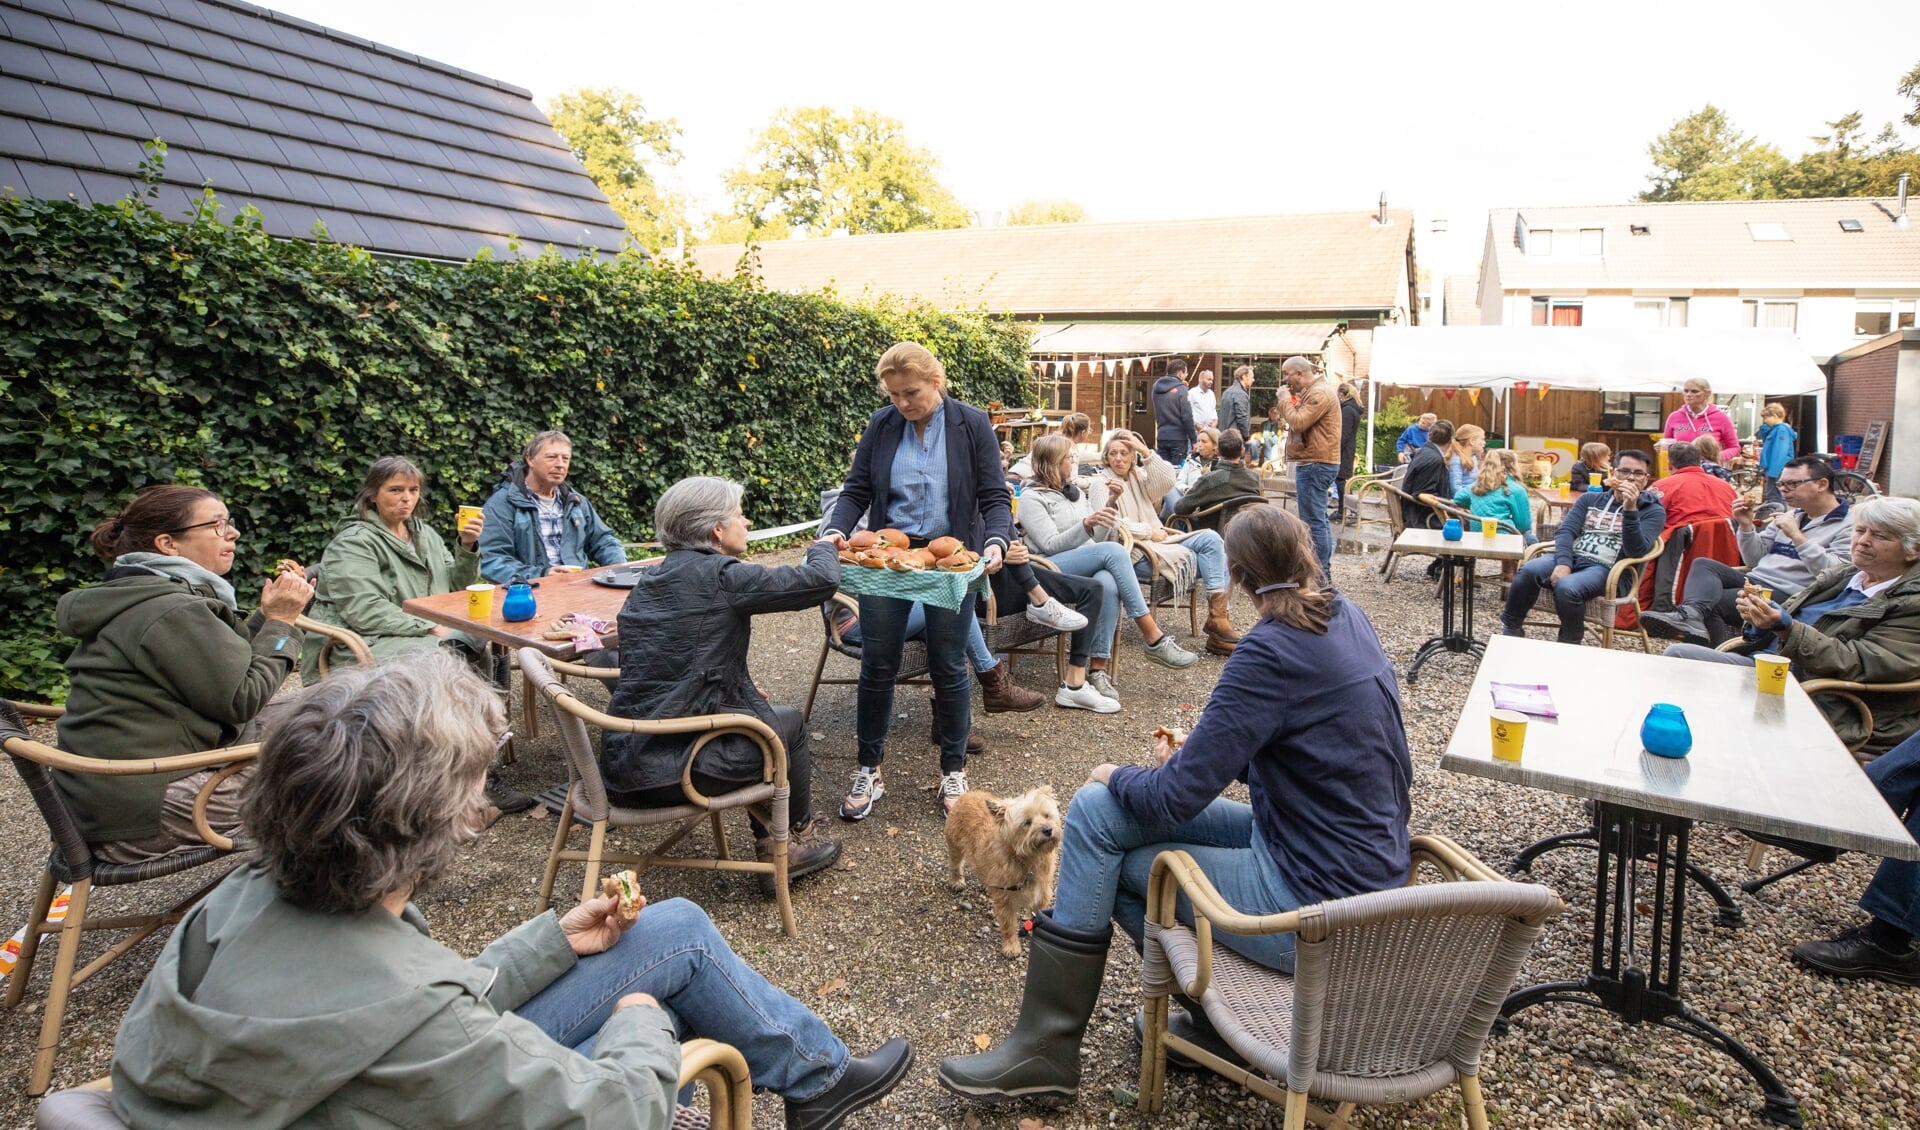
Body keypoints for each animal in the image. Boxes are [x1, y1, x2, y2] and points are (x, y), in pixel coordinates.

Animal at [944, 790, 1067, 955]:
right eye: (1027, 822)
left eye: (1046, 815)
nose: (1048, 830)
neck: (1027, 860)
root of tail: (968, 794)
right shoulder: (1005, 900)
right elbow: (1009, 925)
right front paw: (1011, 945)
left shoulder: (1043, 892)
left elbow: (1037, 911)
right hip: (955, 846)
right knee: (955, 864)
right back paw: (957, 880)